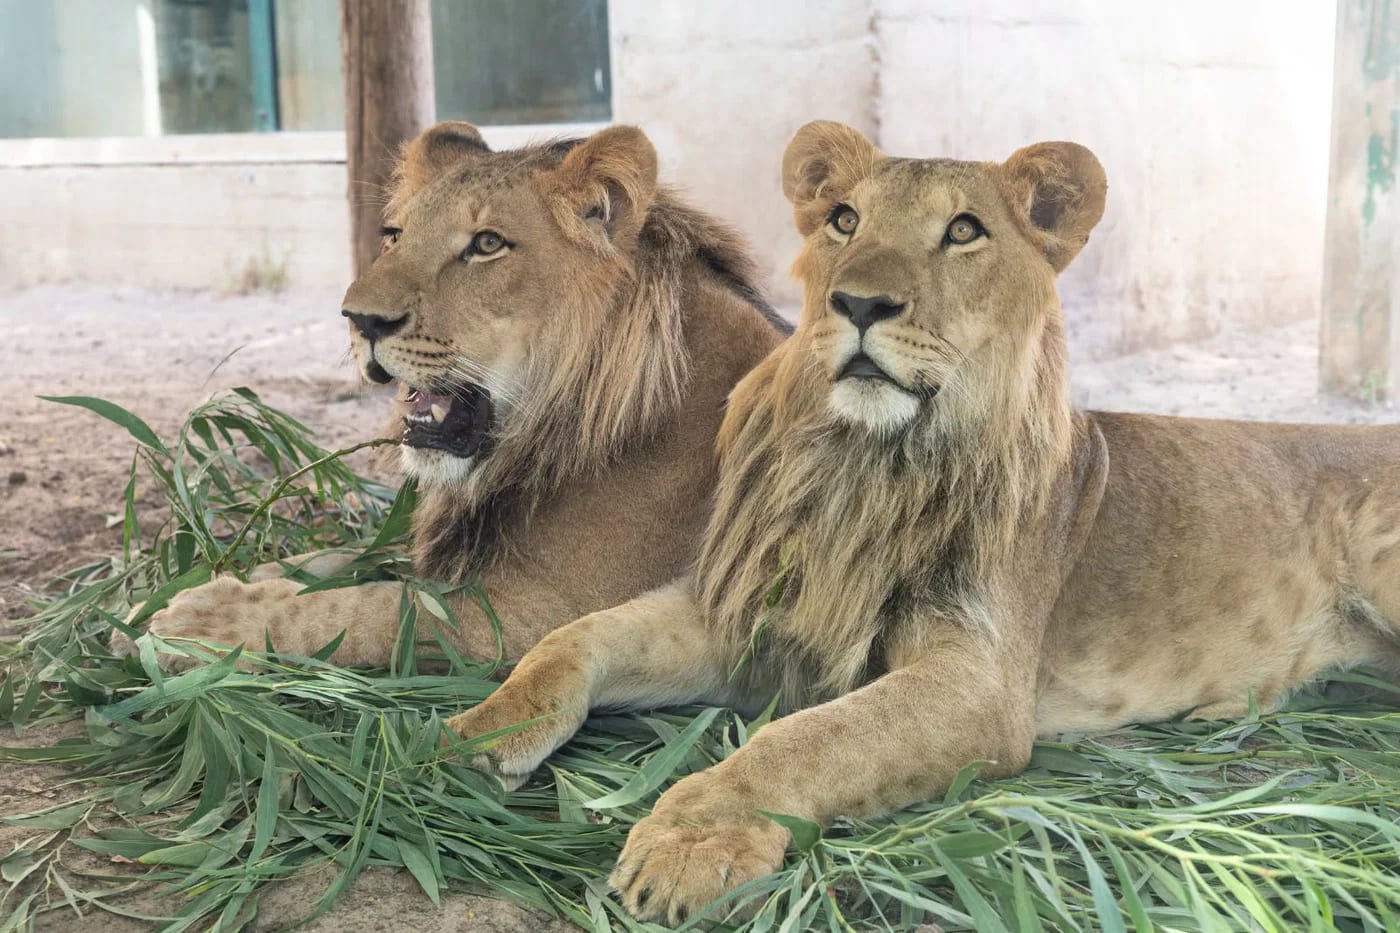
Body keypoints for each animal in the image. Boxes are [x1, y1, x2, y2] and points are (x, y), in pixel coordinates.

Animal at [110, 121, 787, 669]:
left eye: (486, 244)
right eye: (393, 235)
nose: (360, 320)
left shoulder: (541, 613)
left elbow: (371, 608)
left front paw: (207, 624)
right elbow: (336, 558)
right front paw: (152, 602)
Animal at [449, 120, 1400, 925]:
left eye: (964, 231)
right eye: (844, 219)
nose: (860, 304)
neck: (864, 463)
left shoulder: (978, 681)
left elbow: (807, 738)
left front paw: (690, 838)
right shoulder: (757, 611)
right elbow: (574, 637)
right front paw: (468, 733)